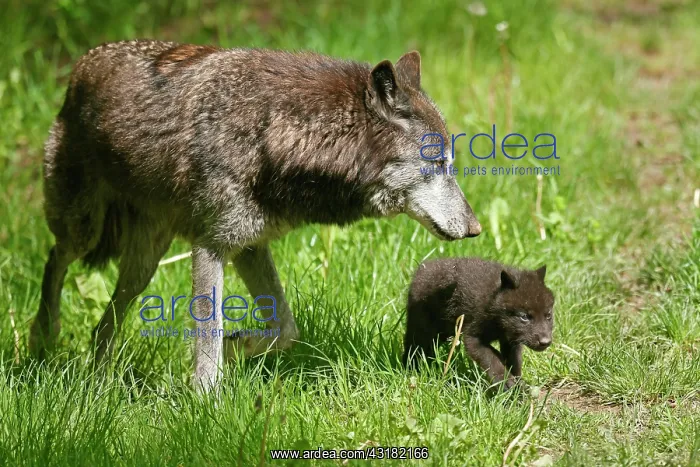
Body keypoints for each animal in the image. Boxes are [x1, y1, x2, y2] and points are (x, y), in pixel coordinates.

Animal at [29, 40, 482, 392]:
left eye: (451, 163)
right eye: (438, 163)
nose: (476, 228)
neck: (279, 134)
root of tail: (82, 64)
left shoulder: (249, 246)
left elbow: (284, 330)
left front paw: (238, 346)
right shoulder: (210, 248)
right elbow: (208, 338)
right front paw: (205, 403)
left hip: (144, 264)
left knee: (103, 322)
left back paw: (98, 378)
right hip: (85, 229)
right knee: (54, 259)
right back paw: (42, 338)